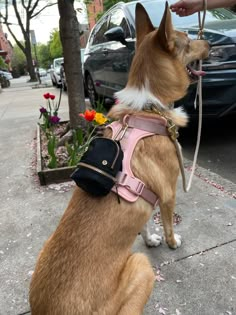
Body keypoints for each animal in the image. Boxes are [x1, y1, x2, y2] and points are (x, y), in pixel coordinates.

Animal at [29, 3, 208, 315]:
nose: (210, 42)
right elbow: (169, 224)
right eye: (188, 41)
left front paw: (150, 239)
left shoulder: (146, 195)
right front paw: (172, 242)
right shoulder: (169, 193)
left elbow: (145, 223)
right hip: (140, 266)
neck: (148, 107)